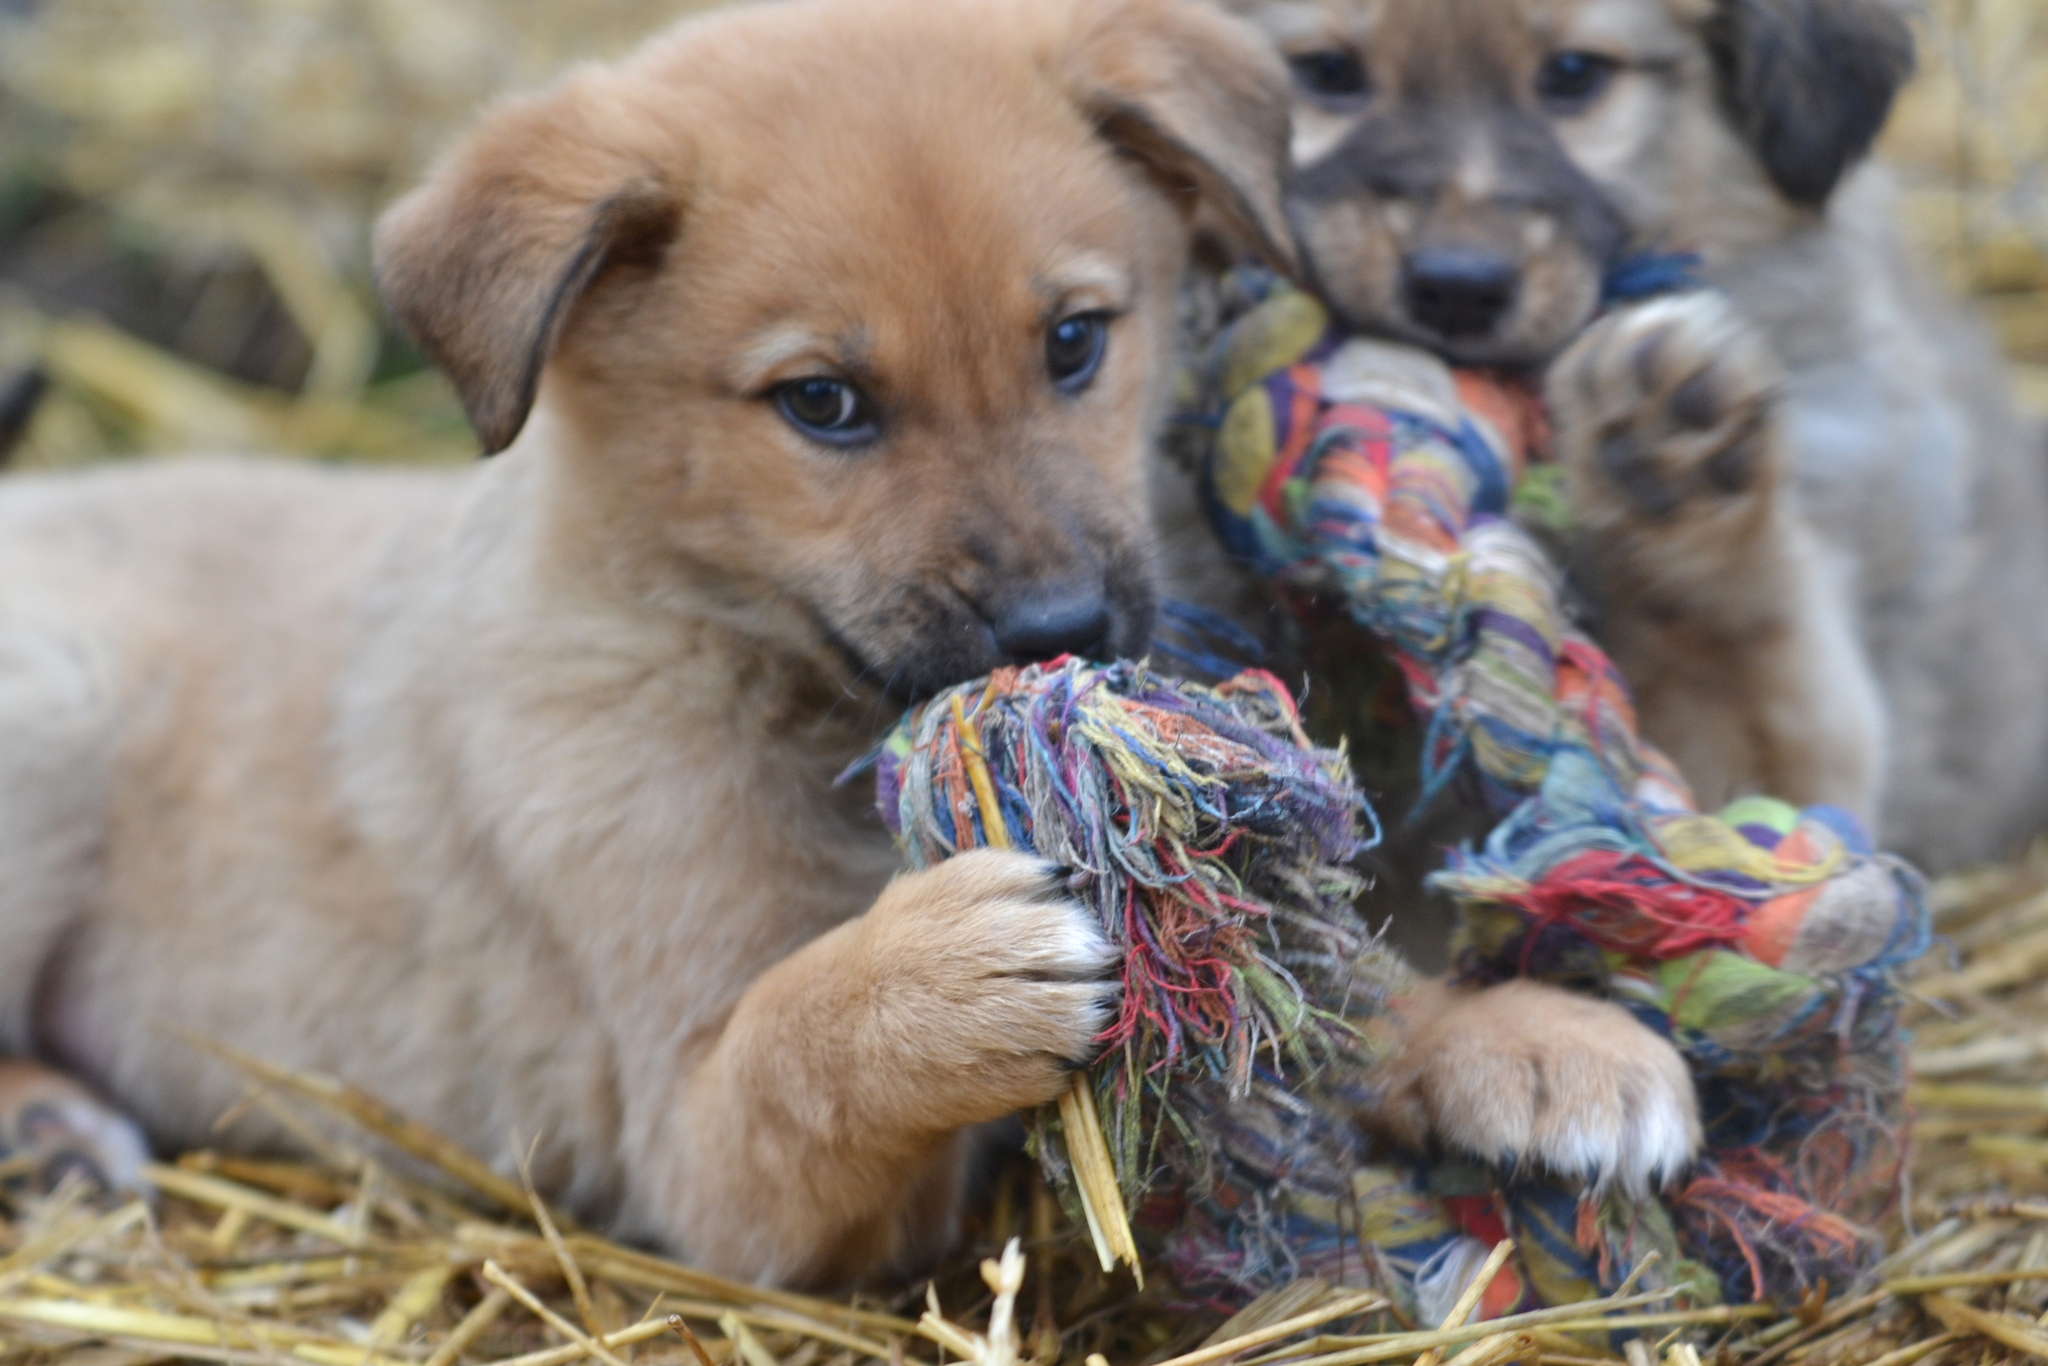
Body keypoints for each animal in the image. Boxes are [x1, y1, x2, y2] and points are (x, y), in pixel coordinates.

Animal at [1204, 0, 2048, 876]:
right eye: (1330, 72)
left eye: (1573, 75)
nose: (1459, 286)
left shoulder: (1767, 791)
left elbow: (1732, 648)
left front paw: (1672, 450)